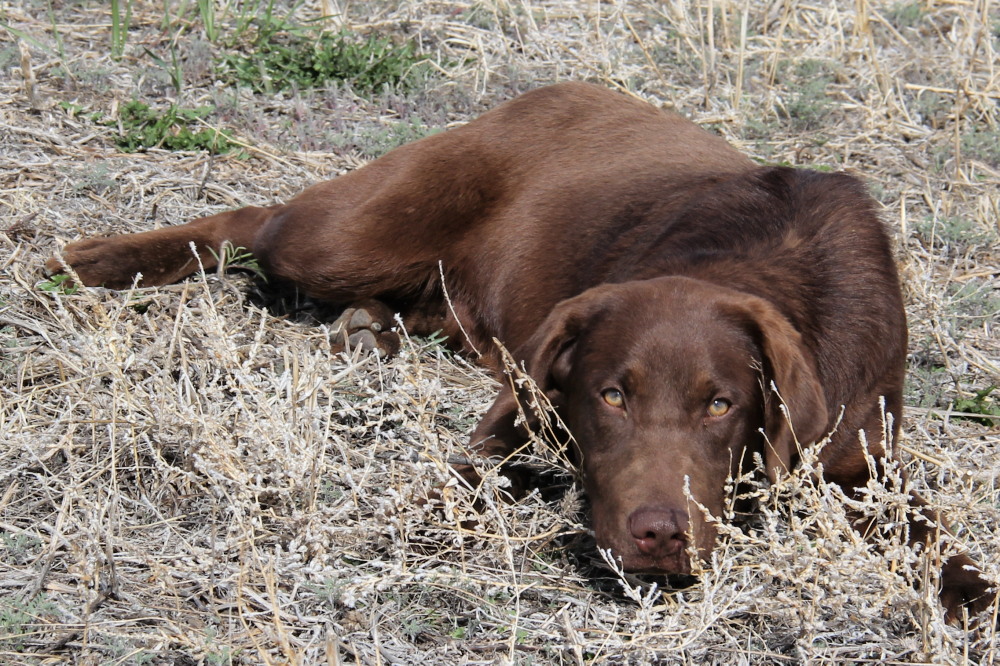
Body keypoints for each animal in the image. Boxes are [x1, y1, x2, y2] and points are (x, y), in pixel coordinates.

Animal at [47, 81, 992, 616]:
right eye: (612, 394)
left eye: (723, 403)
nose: (659, 534)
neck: (759, 261)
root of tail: (541, 94)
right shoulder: (523, 410)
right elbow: (480, 465)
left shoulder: (863, 461)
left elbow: (930, 531)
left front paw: (967, 593)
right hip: (347, 234)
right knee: (257, 223)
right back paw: (95, 259)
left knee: (413, 304)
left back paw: (367, 328)